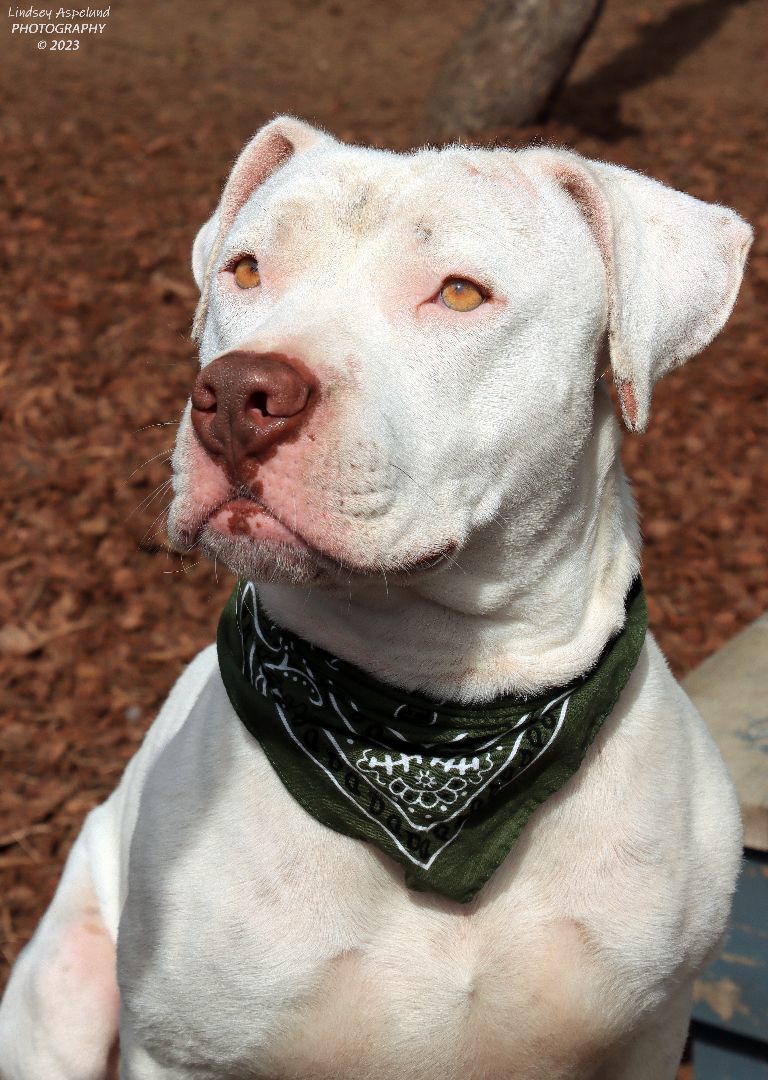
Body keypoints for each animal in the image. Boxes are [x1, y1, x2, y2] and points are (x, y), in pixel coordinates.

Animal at [0, 113, 751, 1075]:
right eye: (246, 270)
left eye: (461, 294)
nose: (237, 393)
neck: (434, 715)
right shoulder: (179, 1049)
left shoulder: (647, 1034)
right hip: (65, 984)